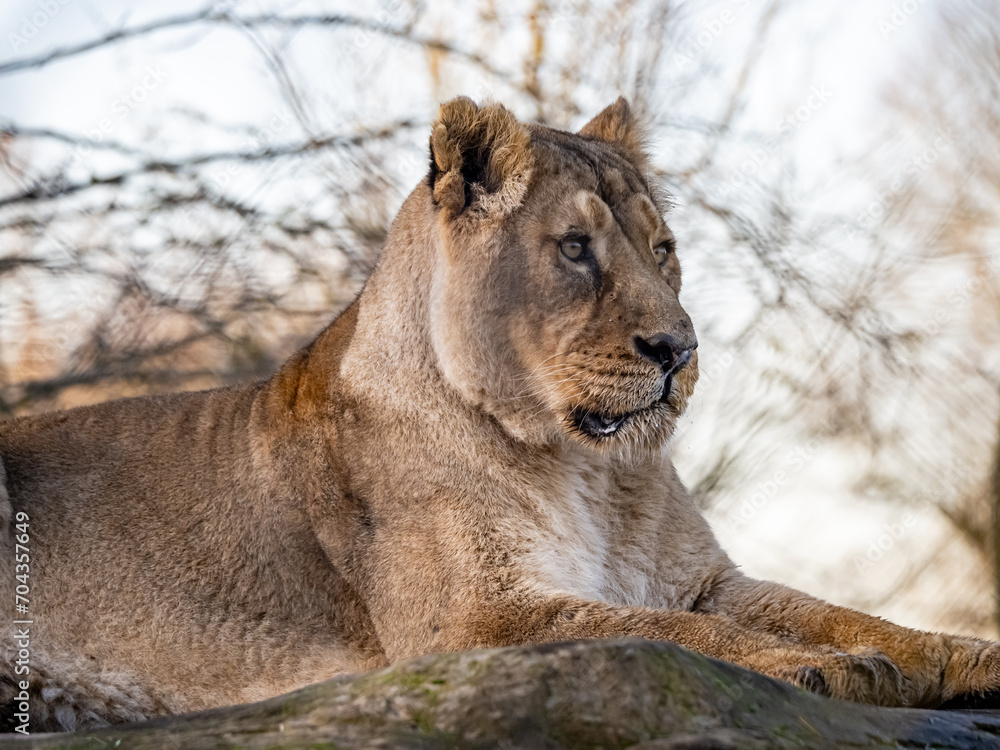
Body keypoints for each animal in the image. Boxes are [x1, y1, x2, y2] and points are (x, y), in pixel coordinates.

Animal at [2, 97, 998, 733]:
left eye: (664, 248)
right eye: (576, 248)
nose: (678, 351)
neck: (588, 473)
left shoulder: (699, 579)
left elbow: (840, 613)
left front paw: (959, 658)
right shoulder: (471, 624)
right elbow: (665, 634)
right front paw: (813, 671)